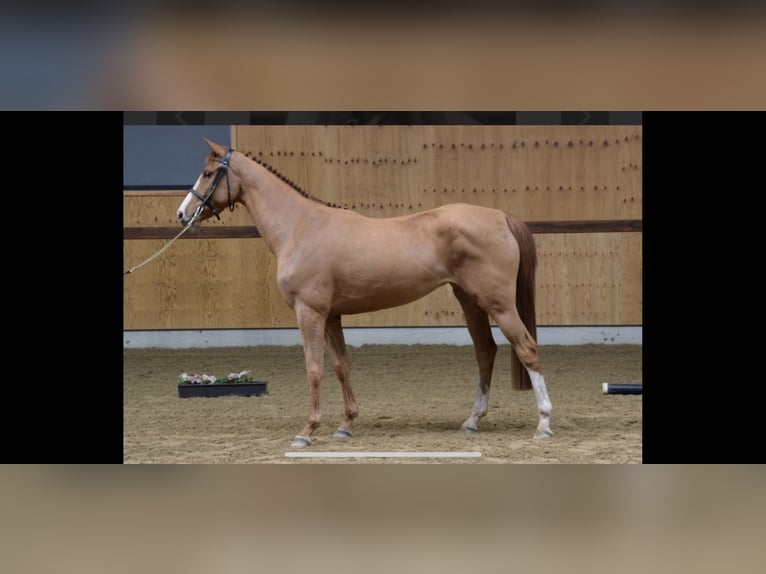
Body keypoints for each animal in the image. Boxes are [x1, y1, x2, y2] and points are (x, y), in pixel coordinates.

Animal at [178, 140, 556, 450]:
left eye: (208, 173)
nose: (183, 214)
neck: (300, 226)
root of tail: (501, 216)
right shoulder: (331, 315)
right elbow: (341, 366)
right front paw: (345, 425)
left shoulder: (309, 312)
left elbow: (314, 368)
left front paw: (307, 431)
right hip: (470, 301)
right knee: (485, 352)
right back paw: (472, 420)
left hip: (498, 303)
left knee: (527, 348)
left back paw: (543, 424)